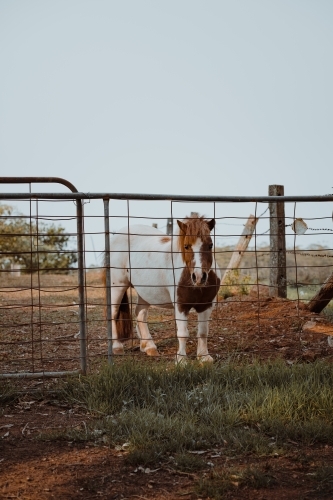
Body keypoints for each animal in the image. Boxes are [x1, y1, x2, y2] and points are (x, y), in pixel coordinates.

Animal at [105, 215, 220, 364]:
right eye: (186, 246)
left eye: (210, 245)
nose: (199, 277)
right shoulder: (181, 306)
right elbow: (183, 334)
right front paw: (181, 360)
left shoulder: (206, 306)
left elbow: (203, 332)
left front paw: (204, 357)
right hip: (117, 286)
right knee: (113, 313)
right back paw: (117, 347)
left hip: (145, 292)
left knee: (140, 314)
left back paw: (149, 347)